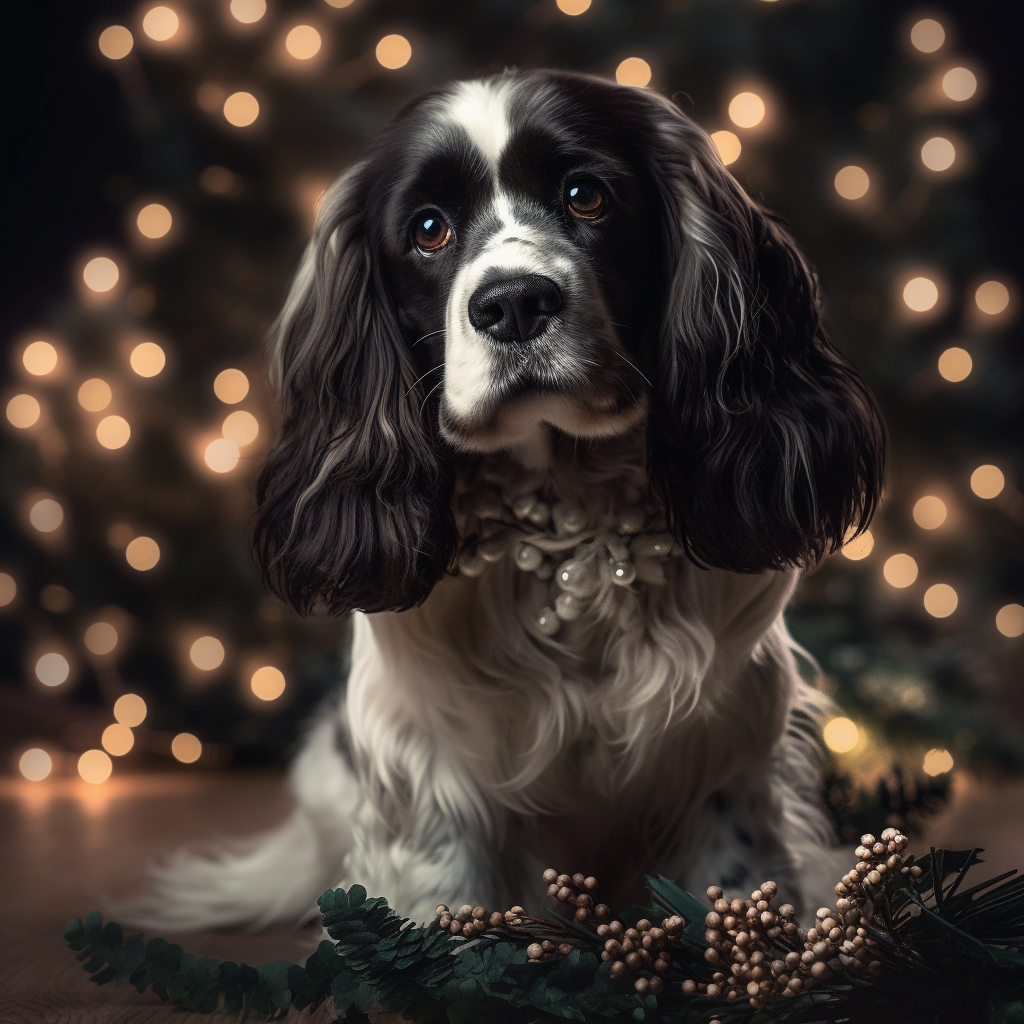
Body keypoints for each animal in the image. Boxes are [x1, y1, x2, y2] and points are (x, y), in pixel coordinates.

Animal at [132, 68, 884, 933]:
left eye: (586, 195)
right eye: (428, 229)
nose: (515, 302)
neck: (572, 531)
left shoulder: (725, 750)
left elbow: (735, 880)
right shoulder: (431, 768)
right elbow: (448, 902)